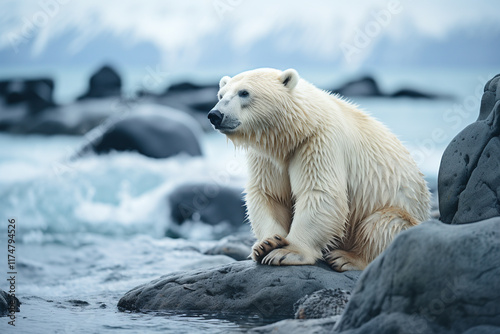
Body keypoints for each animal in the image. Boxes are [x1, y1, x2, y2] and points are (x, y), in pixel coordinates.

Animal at [207, 68, 430, 272]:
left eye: (244, 92)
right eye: (221, 95)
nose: (215, 115)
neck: (298, 129)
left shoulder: (319, 141)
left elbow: (320, 193)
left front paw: (287, 252)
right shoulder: (268, 156)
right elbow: (269, 194)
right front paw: (267, 244)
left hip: (402, 214)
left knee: (383, 224)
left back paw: (347, 258)